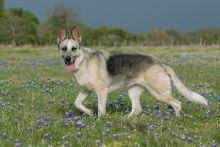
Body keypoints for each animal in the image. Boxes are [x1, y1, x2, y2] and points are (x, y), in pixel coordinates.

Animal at [57, 25, 208, 117]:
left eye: (74, 49)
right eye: (64, 49)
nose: (68, 59)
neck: (83, 62)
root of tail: (159, 61)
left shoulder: (101, 91)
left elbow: (101, 110)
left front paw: (100, 121)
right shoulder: (85, 90)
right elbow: (77, 103)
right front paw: (88, 112)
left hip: (159, 93)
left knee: (177, 103)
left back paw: (177, 118)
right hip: (133, 91)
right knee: (137, 109)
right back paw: (125, 119)